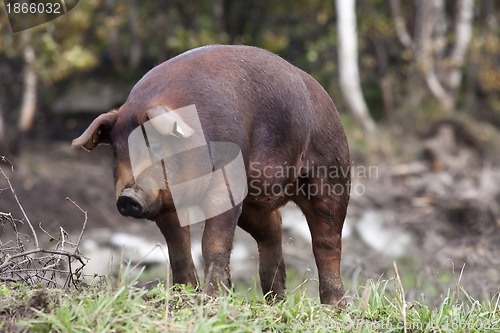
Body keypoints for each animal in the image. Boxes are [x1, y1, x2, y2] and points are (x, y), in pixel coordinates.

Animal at [72, 44, 350, 306]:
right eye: (117, 151)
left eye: (156, 146)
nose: (128, 197)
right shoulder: (166, 204)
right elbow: (178, 248)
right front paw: (184, 294)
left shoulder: (227, 184)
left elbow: (212, 242)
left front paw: (211, 298)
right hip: (253, 202)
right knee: (273, 229)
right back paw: (276, 301)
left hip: (331, 171)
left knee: (327, 241)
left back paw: (334, 307)